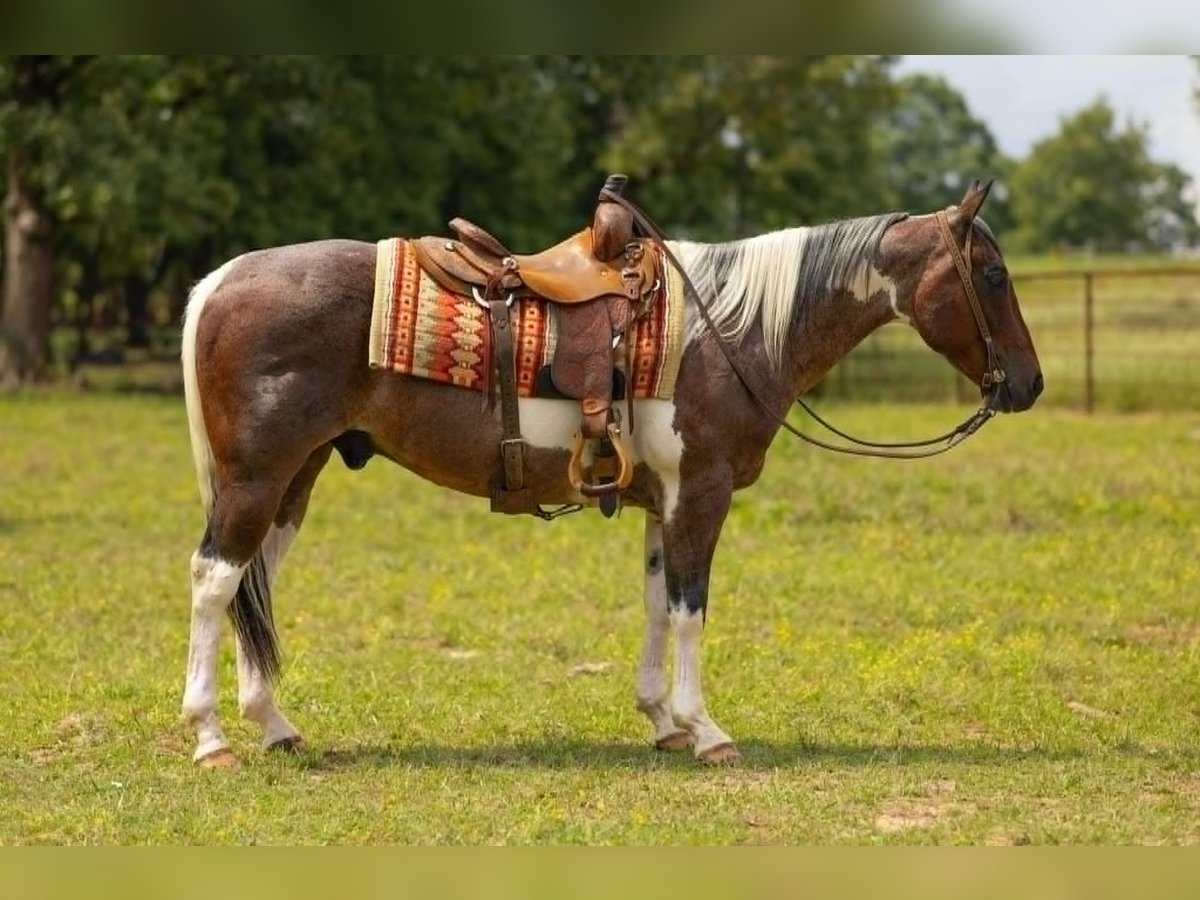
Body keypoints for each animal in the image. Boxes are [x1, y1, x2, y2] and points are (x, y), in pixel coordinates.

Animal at [179, 179, 1042, 768]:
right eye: (993, 276)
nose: (1029, 385)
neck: (732, 328)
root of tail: (217, 281)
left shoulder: (664, 501)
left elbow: (659, 604)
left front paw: (663, 721)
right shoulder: (702, 493)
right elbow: (692, 610)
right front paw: (708, 731)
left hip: (295, 479)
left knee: (256, 582)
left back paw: (275, 727)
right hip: (257, 479)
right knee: (215, 582)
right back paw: (211, 737)